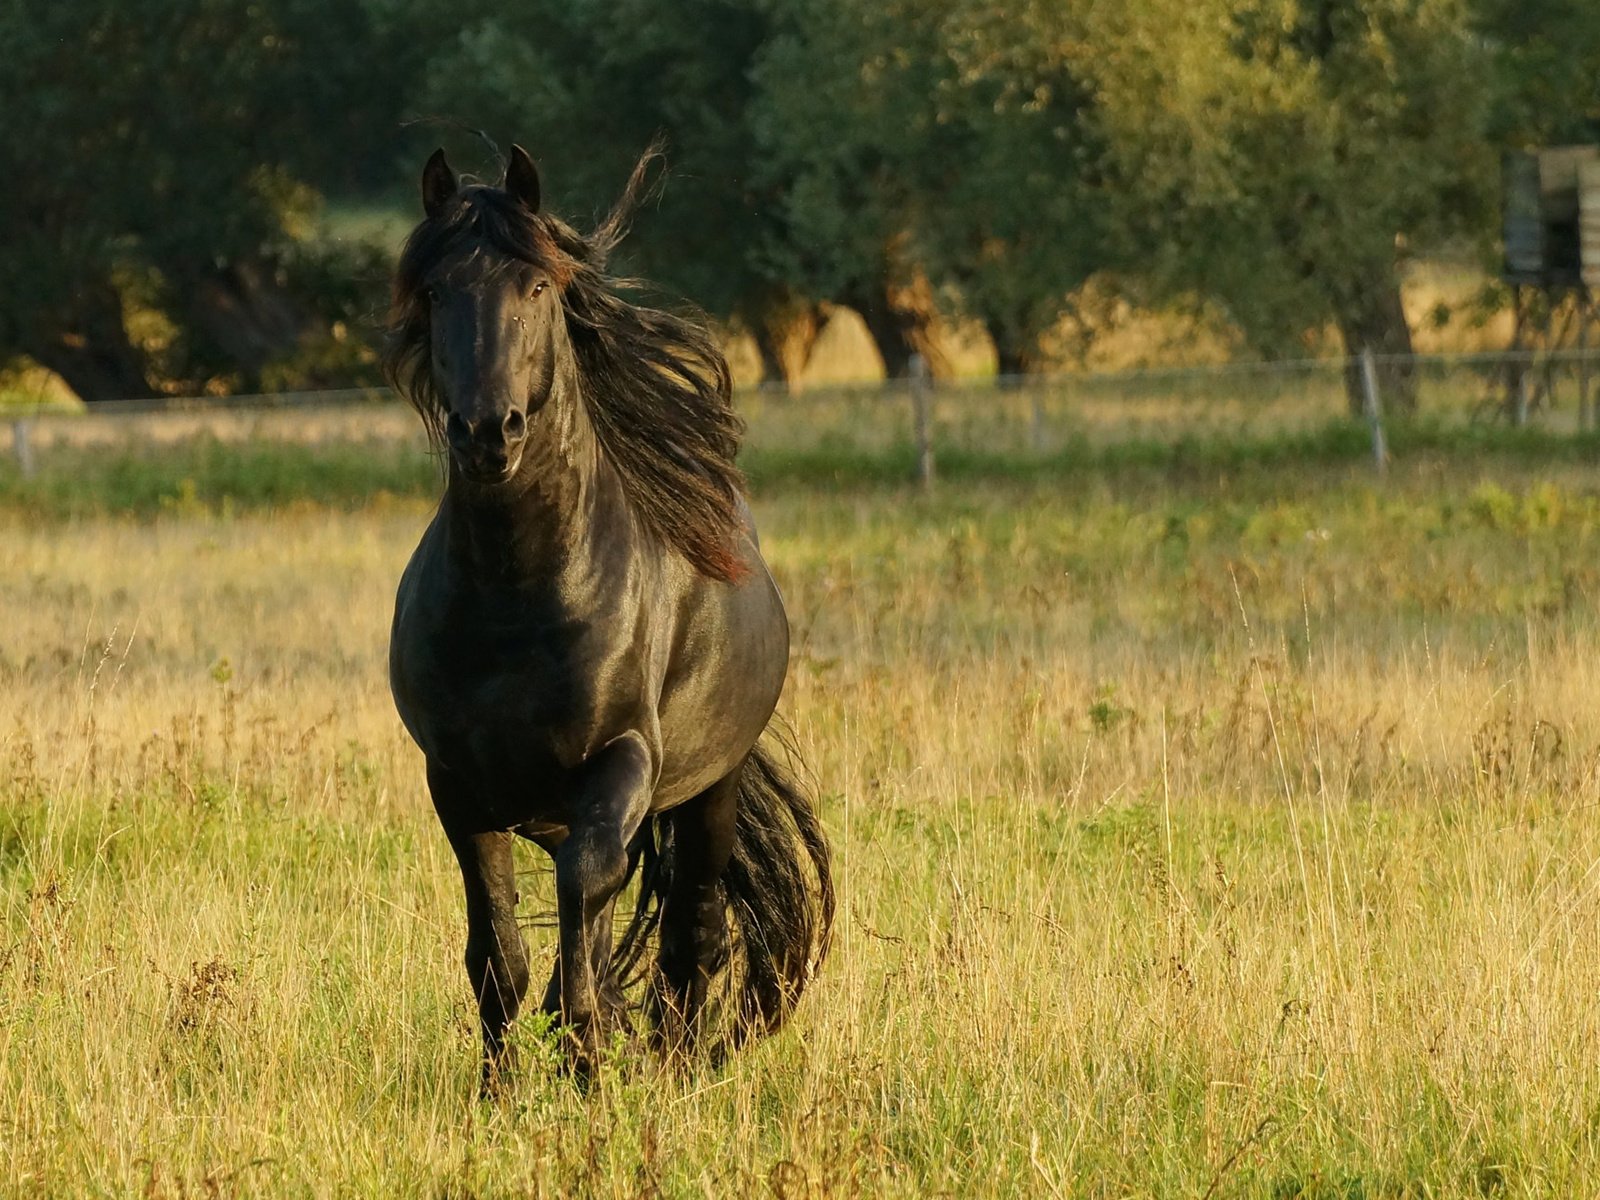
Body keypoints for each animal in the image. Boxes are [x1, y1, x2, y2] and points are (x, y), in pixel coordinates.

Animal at [385, 145, 832, 1088]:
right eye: (435, 292)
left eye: (537, 287)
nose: (489, 431)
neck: (518, 597)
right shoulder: (457, 784)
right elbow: (499, 955)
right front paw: (499, 1091)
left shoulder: (619, 762)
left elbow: (591, 900)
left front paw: (588, 1065)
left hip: (707, 792)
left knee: (690, 930)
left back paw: (676, 1066)